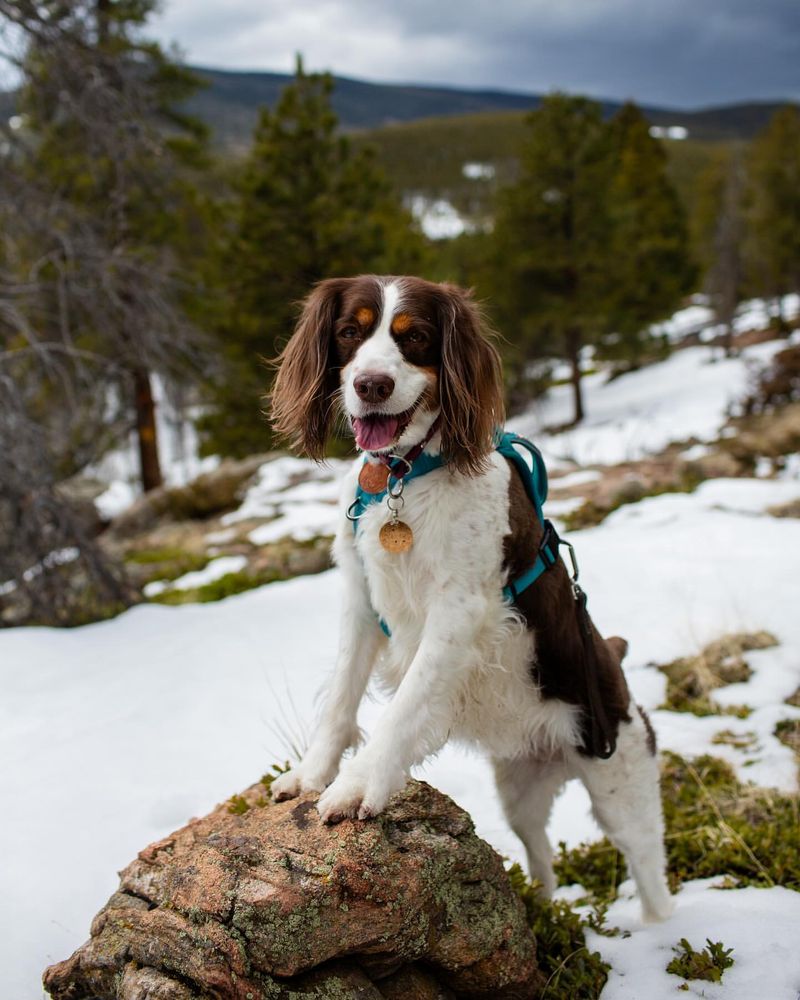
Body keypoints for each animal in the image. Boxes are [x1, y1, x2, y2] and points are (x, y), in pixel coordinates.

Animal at [270, 274, 676, 920]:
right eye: (350, 331)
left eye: (416, 337)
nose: (371, 385)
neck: (405, 476)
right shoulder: (361, 599)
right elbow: (339, 700)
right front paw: (310, 777)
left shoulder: (458, 611)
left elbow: (403, 707)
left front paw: (356, 786)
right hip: (518, 791)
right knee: (541, 854)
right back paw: (545, 909)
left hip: (622, 783)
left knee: (649, 872)